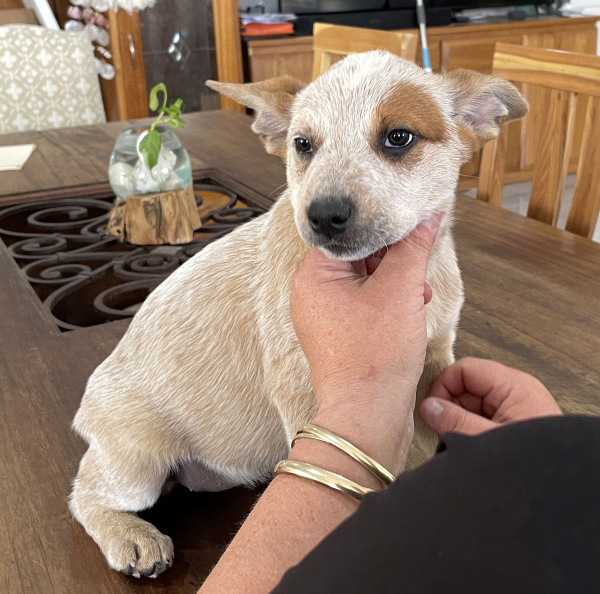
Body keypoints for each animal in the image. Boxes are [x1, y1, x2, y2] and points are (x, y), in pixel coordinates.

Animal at [70, 51, 528, 572]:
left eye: (399, 137)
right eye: (302, 144)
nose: (323, 214)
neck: (386, 270)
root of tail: (86, 407)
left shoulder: (434, 356)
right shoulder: (303, 384)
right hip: (137, 460)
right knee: (84, 495)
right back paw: (130, 536)